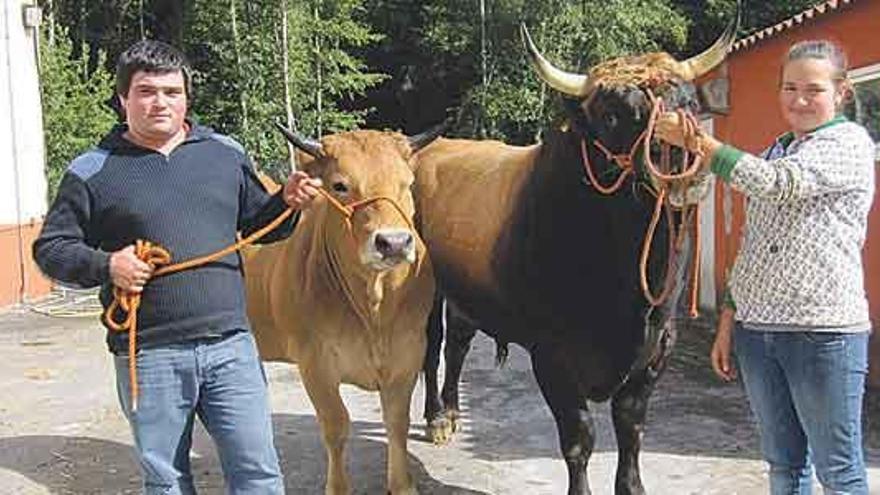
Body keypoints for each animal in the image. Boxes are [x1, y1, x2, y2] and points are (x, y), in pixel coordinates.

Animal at [244, 126, 440, 494]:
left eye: (408, 183)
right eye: (340, 185)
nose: (394, 243)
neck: (373, 308)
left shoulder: (409, 353)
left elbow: (397, 422)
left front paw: (402, 484)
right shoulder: (314, 363)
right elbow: (336, 426)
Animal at [416, 6, 740, 495]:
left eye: (688, 102)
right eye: (611, 114)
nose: (678, 156)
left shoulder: (657, 349)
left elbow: (631, 429)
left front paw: (632, 486)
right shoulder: (552, 357)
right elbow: (579, 439)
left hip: (466, 292)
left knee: (457, 344)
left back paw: (453, 411)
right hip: (426, 288)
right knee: (433, 345)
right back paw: (436, 417)